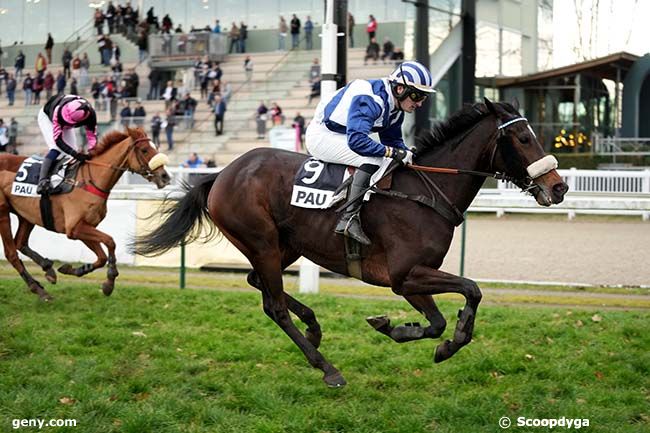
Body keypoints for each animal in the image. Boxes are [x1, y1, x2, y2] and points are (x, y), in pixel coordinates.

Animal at [0, 126, 170, 298]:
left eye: (156, 147)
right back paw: (38, 289)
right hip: (3, 213)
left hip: (26, 215)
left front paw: (75, 270)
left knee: (20, 243)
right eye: (144, 150)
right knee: (11, 253)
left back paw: (48, 269)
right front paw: (110, 279)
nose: (165, 176)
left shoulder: (84, 227)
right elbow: (110, 241)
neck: (89, 180)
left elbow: (101, 257)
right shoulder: (74, 228)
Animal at [133, 100, 568, 384]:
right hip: (262, 242)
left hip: (283, 245)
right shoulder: (405, 275)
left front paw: (406, 331)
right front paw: (445, 339)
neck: (426, 192)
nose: (559, 187)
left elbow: (439, 320)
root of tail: (221, 174)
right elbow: (470, 290)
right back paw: (326, 367)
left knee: (260, 286)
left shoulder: (411, 278)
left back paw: (313, 327)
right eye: (523, 138)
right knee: (274, 306)